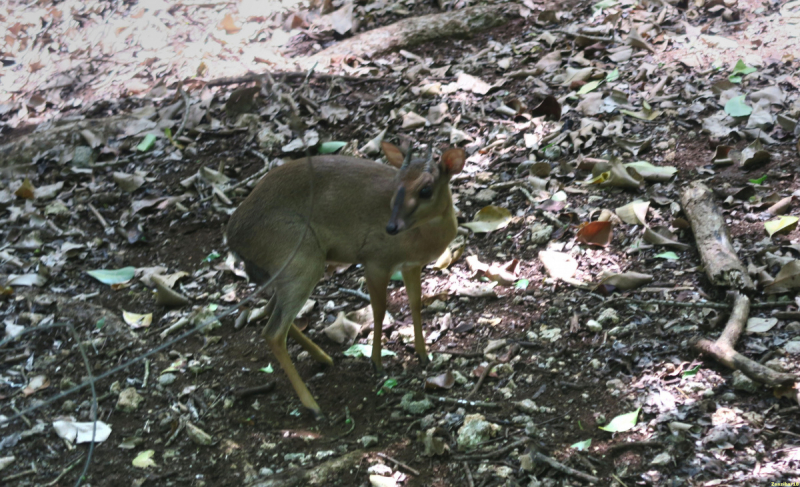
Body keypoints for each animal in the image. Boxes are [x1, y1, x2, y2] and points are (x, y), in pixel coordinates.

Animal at [225, 143, 466, 418]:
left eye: (426, 189)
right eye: (396, 184)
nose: (391, 227)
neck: (420, 238)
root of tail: (233, 237)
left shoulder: (411, 265)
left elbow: (416, 303)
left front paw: (424, 355)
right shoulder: (375, 261)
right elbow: (379, 309)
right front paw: (377, 363)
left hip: (287, 270)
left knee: (269, 309)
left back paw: (324, 358)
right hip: (302, 260)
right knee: (273, 332)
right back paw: (313, 404)